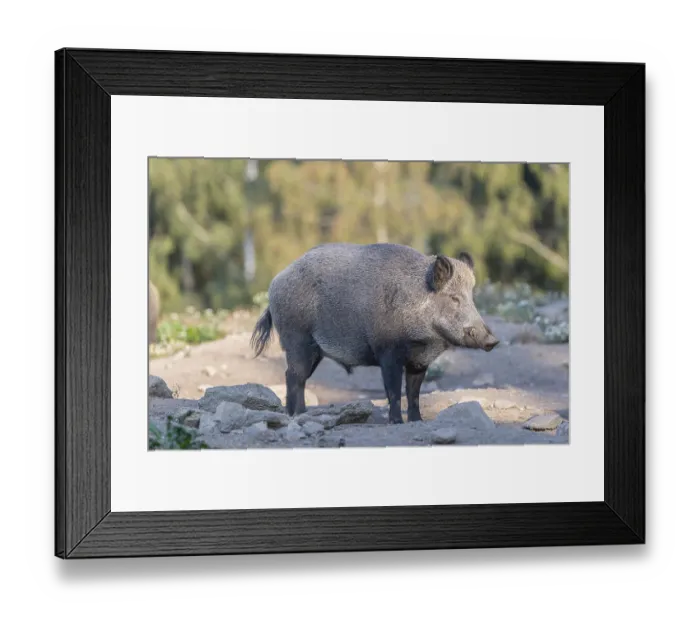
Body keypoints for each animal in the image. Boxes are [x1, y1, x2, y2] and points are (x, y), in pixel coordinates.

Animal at [250, 242, 499, 424]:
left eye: (471, 297)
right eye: (454, 298)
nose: (493, 340)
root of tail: (275, 282)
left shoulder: (419, 361)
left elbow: (414, 393)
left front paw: (417, 421)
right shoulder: (388, 352)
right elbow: (393, 390)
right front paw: (396, 422)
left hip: (312, 350)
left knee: (294, 377)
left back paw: (296, 414)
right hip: (297, 339)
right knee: (294, 376)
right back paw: (297, 415)